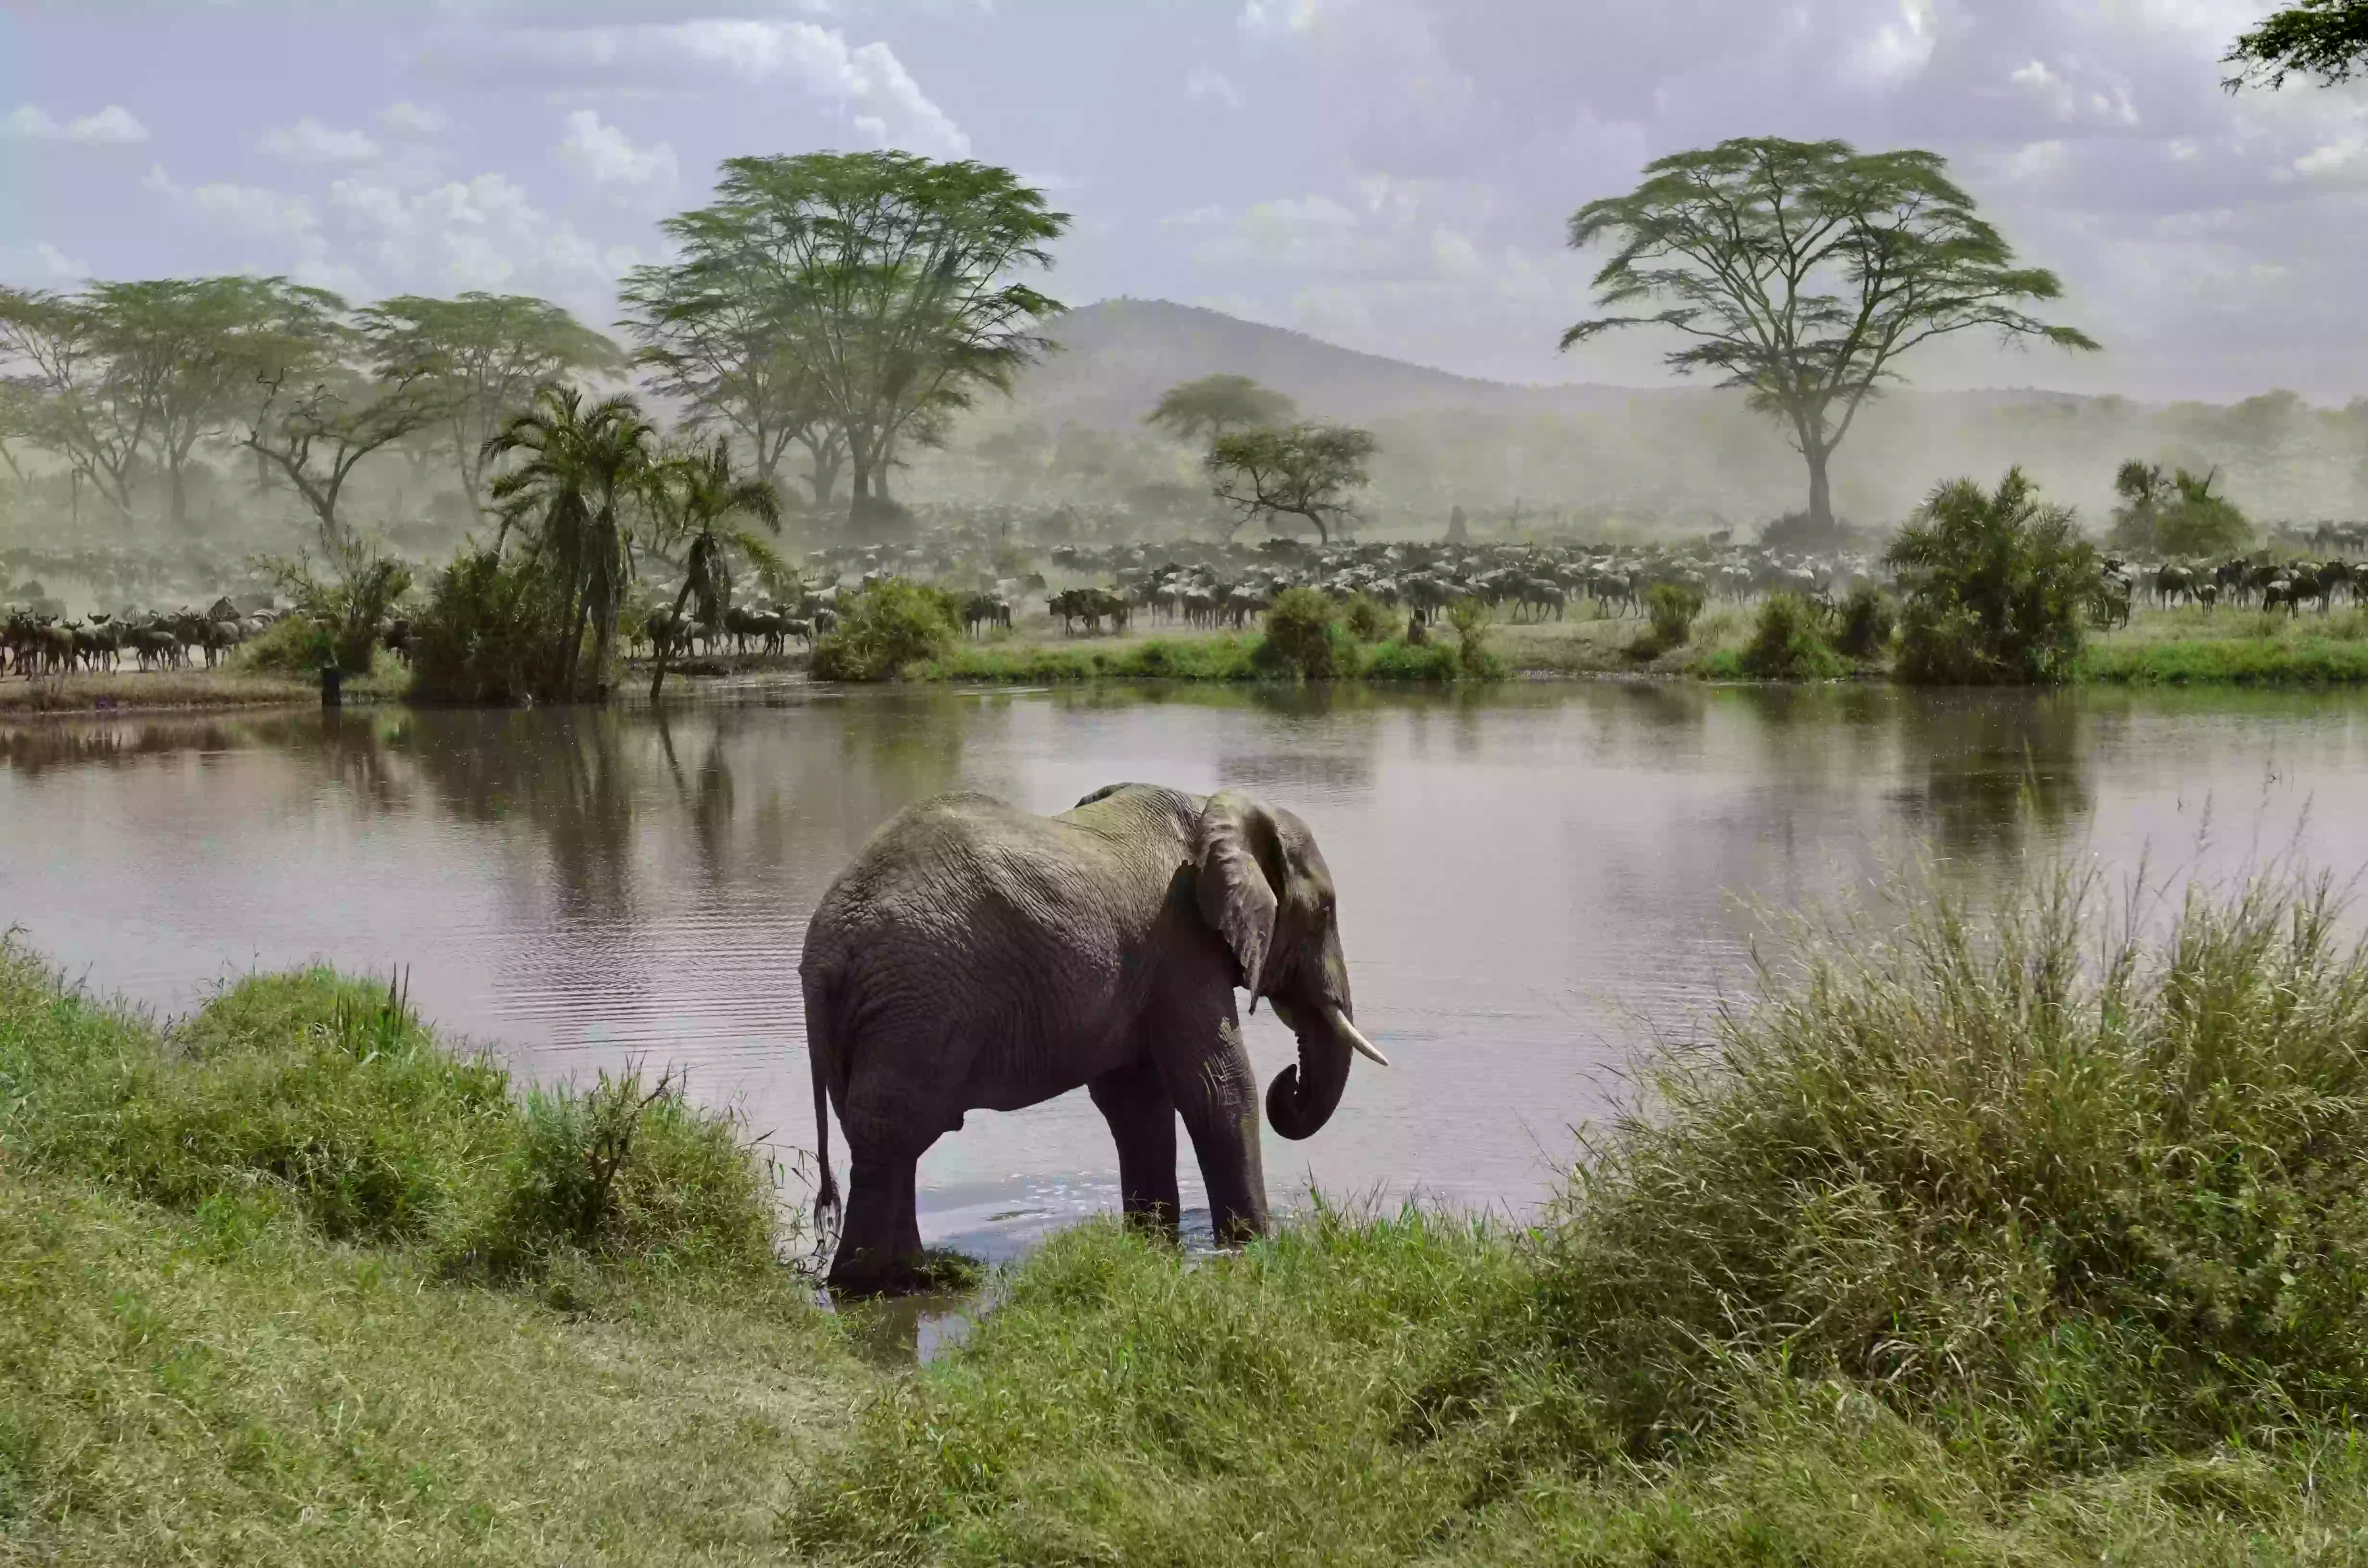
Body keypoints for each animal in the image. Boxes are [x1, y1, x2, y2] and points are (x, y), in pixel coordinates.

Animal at [805, 782, 1382, 1298]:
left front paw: (1153, 1242)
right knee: (892, 1132)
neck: (1211, 809)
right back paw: (872, 1286)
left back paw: (913, 1277)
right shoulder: (1181, 940)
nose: (1291, 1079)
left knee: (886, 1136)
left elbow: (1136, 1101)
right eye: (1325, 911)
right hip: (919, 1000)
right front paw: (1252, 1245)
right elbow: (1218, 1085)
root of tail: (825, 949)